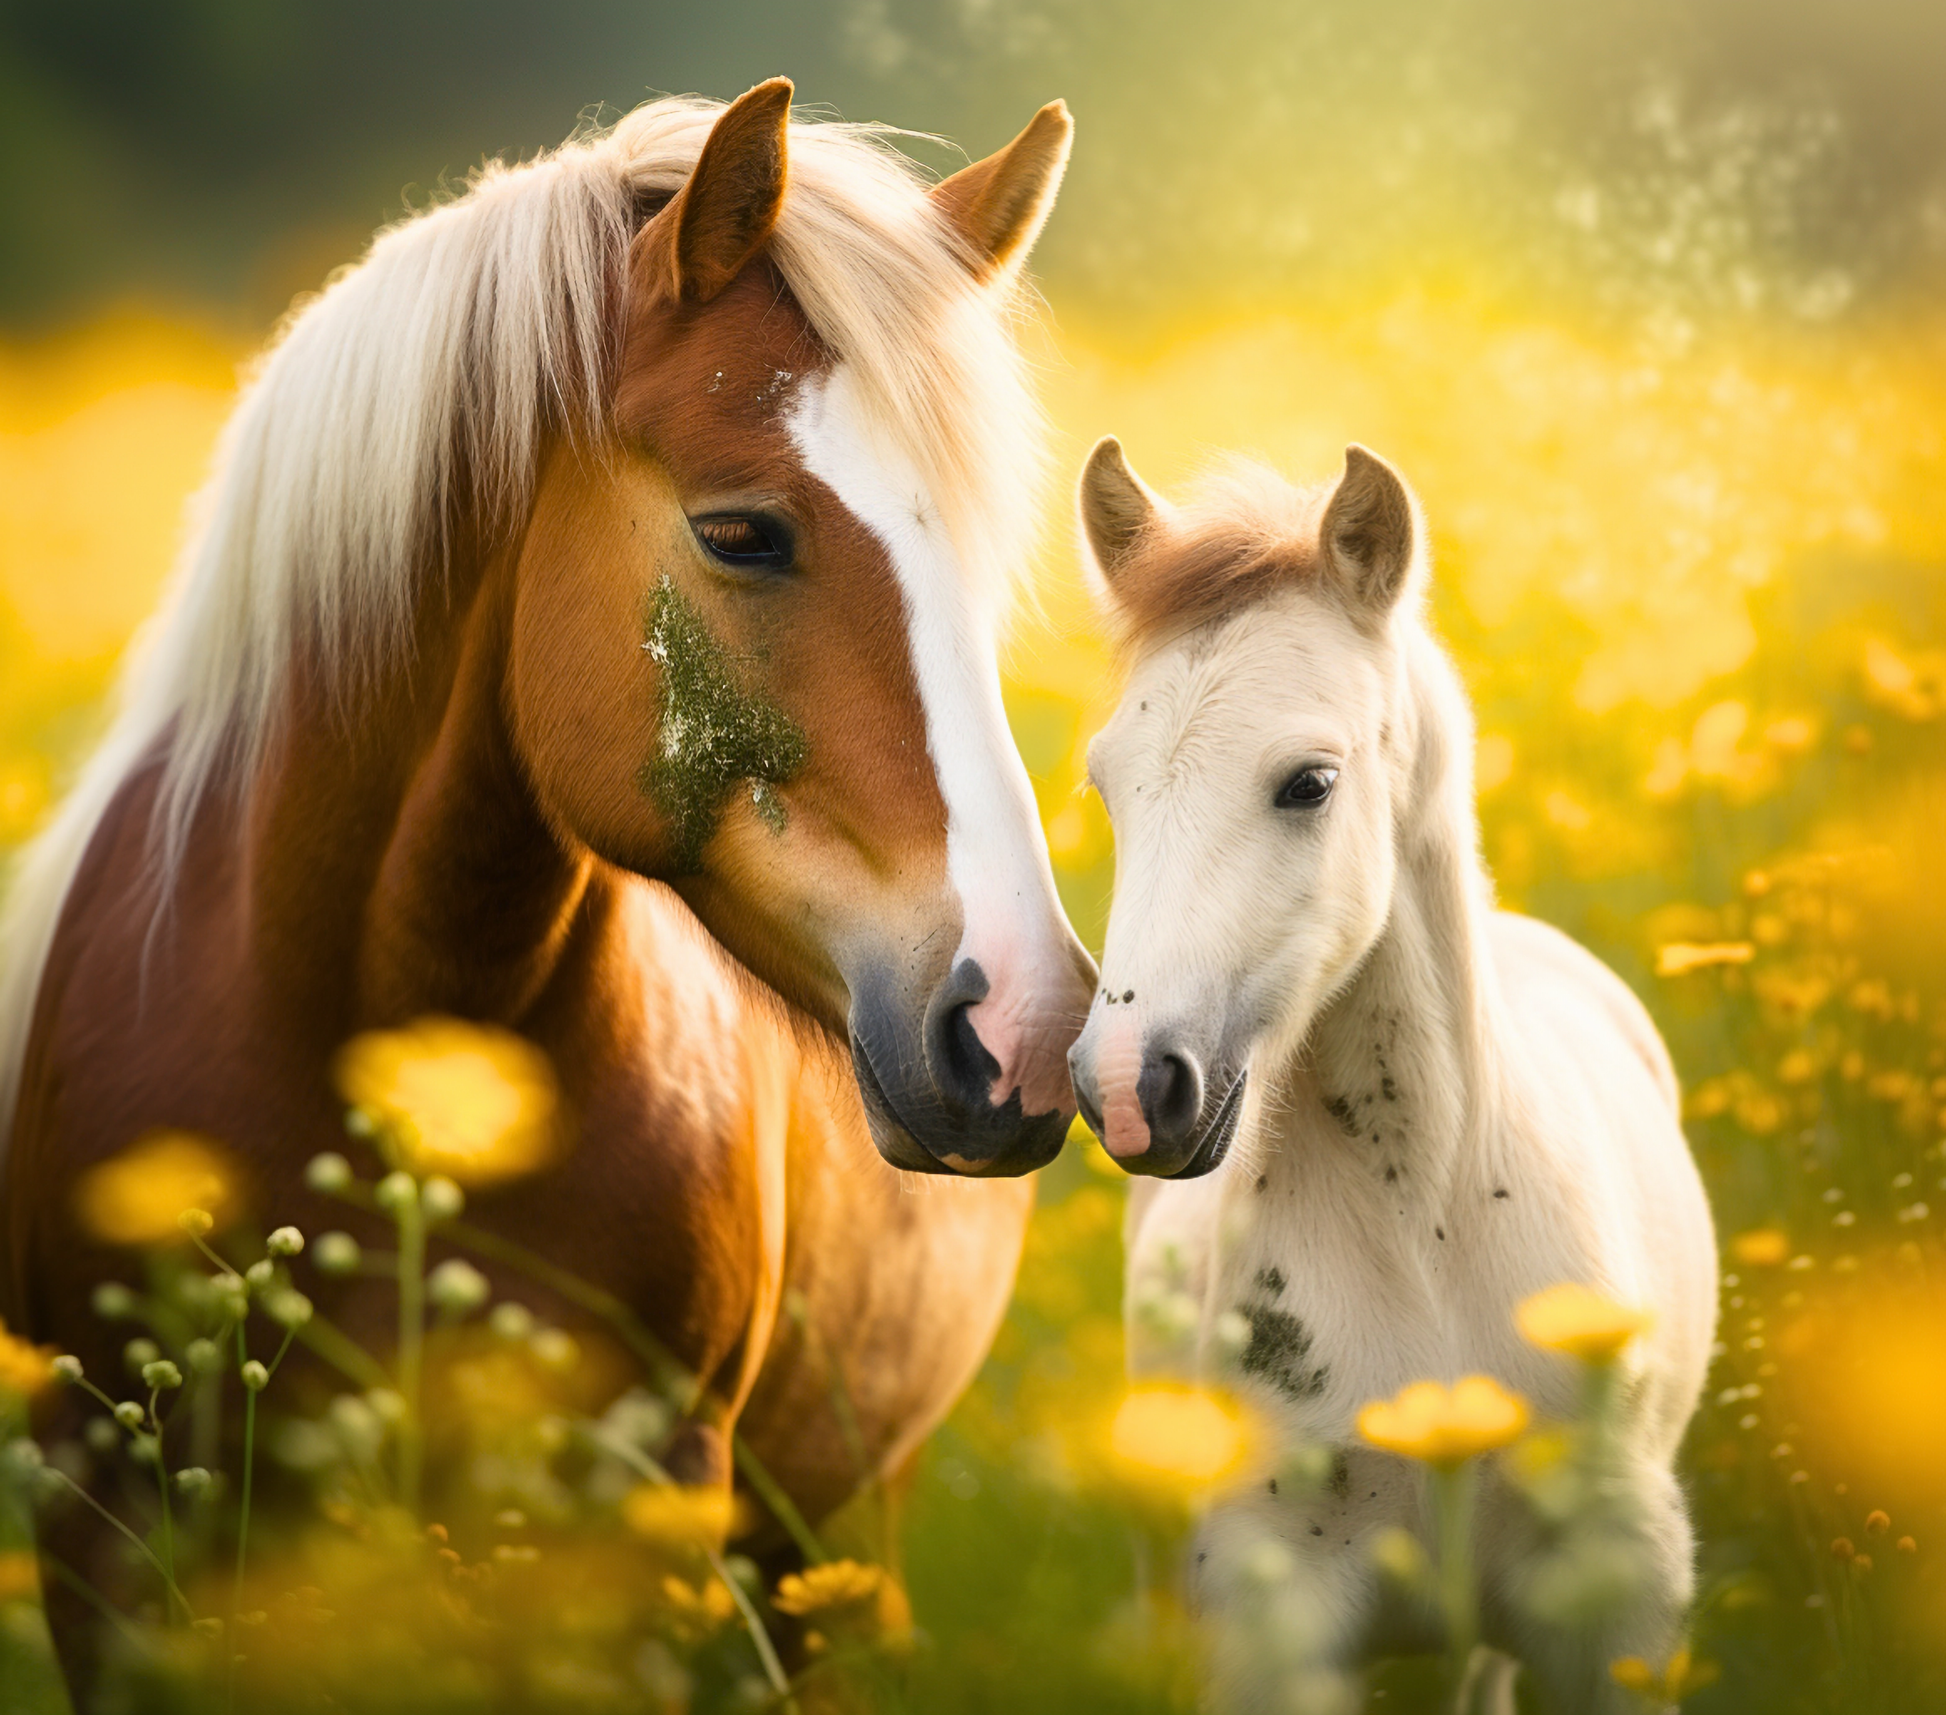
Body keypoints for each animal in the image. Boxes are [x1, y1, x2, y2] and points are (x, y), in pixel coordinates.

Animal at [1065, 438, 1717, 1710]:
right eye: (1105, 784)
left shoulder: (1613, 1595)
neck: (1428, 1230)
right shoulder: (1267, 1616)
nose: (1127, 1084)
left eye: (1308, 782)